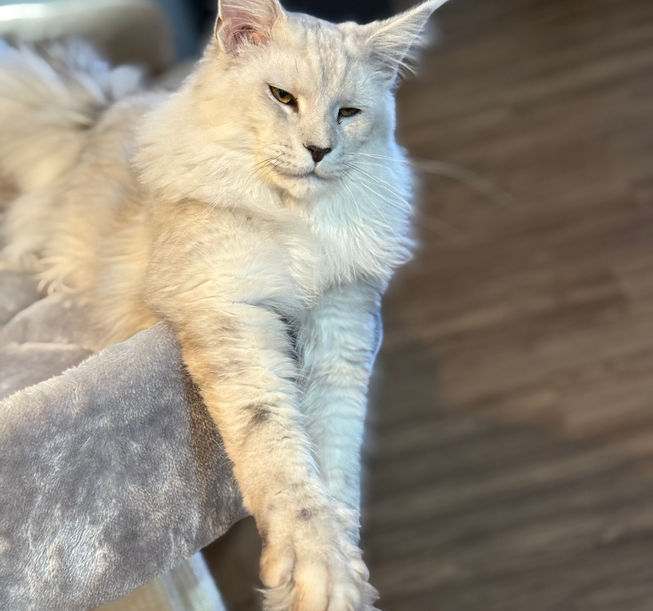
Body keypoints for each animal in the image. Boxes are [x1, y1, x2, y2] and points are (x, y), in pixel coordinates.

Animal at [0, 0, 446, 608]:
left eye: (348, 113)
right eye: (282, 97)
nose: (319, 151)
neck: (298, 223)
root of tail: (103, 107)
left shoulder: (341, 325)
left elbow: (334, 463)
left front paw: (342, 577)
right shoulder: (231, 309)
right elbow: (278, 454)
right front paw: (314, 569)